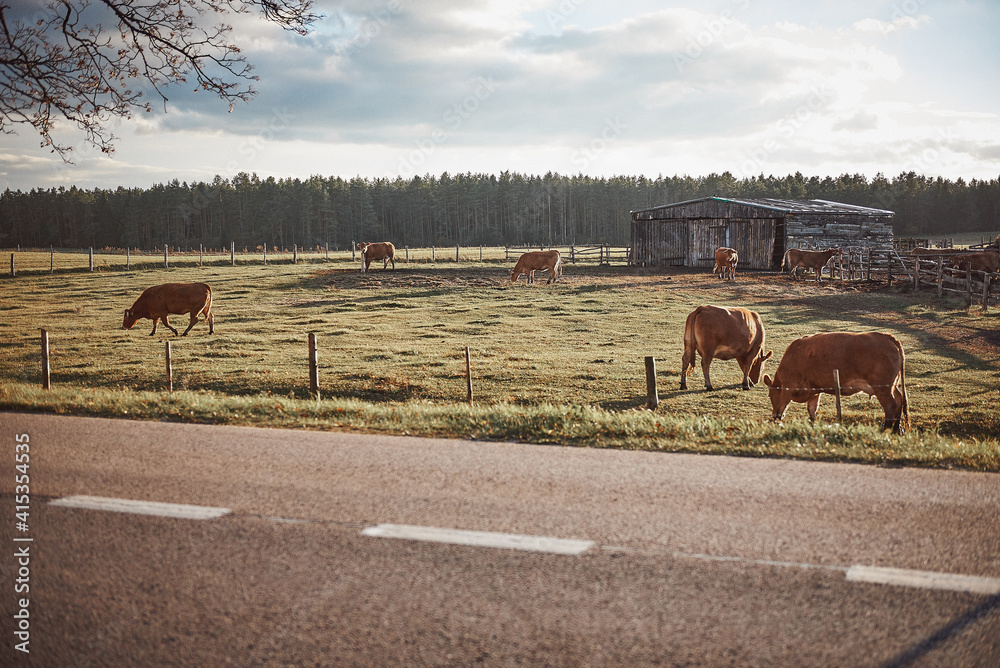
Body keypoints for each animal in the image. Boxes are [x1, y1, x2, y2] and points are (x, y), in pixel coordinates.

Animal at [760, 332, 912, 434]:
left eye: (770, 395)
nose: (772, 414)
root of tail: (888, 337)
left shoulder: (788, 387)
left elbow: (781, 407)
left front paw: (777, 421)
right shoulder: (814, 390)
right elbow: (812, 410)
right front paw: (812, 425)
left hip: (883, 388)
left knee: (890, 406)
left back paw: (887, 429)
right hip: (892, 386)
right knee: (899, 400)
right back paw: (896, 429)